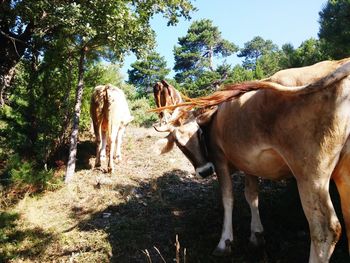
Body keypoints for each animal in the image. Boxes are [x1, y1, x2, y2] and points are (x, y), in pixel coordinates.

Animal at [154, 63, 350, 262]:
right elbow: (252, 195)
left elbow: (228, 198)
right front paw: (256, 235)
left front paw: (225, 242)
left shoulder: (219, 159)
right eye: (178, 143)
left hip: (310, 173)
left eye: (199, 133)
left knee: (325, 229)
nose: (205, 171)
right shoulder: (249, 163)